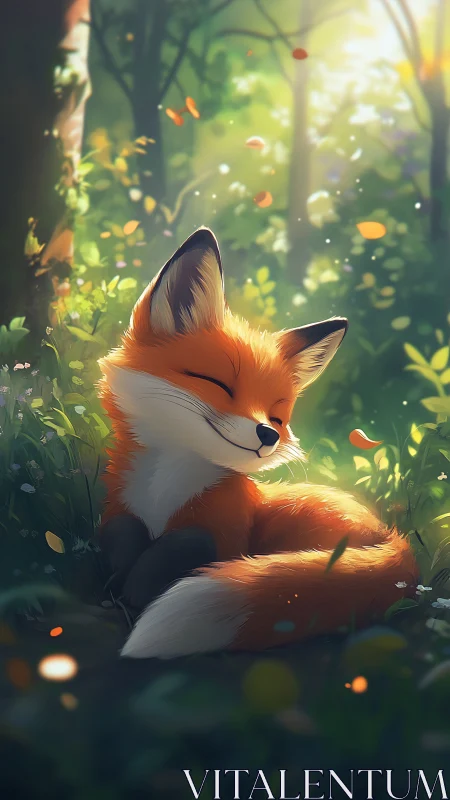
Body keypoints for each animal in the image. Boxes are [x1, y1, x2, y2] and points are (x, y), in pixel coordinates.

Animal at [98, 226, 418, 659]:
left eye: (276, 415)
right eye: (218, 384)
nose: (268, 434)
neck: (163, 491)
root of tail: (394, 537)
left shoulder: (227, 530)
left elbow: (188, 543)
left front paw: (136, 591)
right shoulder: (121, 507)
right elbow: (121, 535)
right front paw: (116, 583)